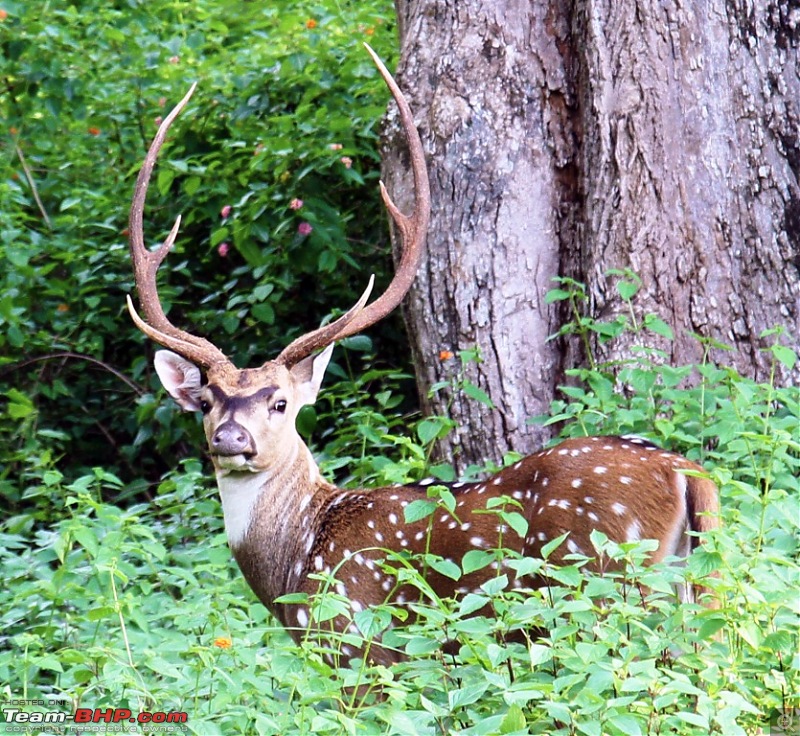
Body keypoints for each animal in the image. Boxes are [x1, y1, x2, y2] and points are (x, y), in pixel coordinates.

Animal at [126, 47, 720, 668]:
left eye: (281, 403)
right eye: (206, 402)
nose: (230, 438)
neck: (297, 557)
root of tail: (685, 472)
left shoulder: (355, 640)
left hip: (605, 579)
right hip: (691, 582)